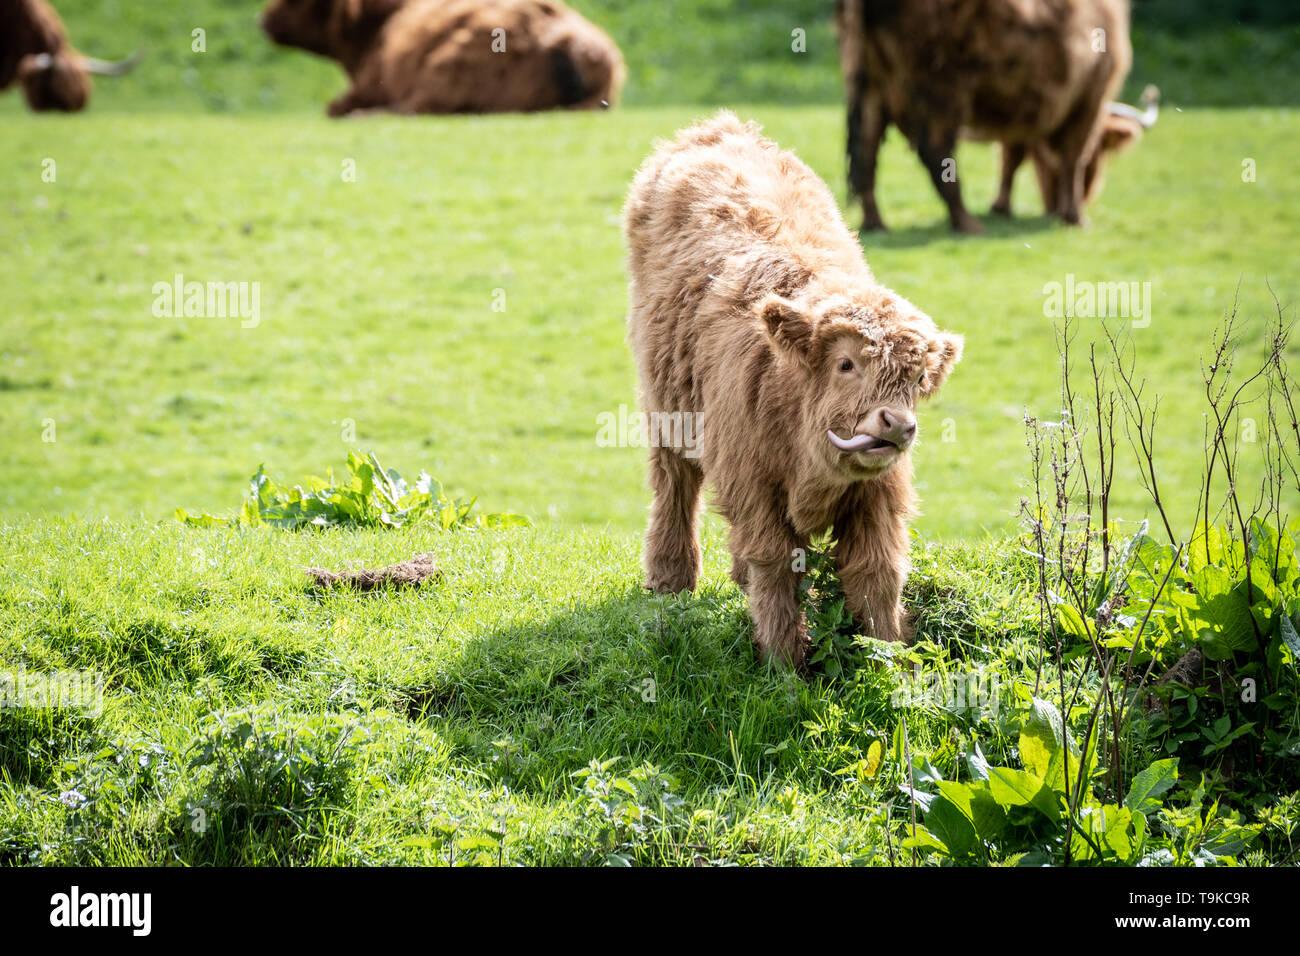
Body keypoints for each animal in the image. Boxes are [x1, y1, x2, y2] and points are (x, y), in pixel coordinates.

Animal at [624, 110, 961, 665]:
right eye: (846, 364)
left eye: (915, 378)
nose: (895, 425)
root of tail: (719, 127)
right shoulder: (753, 484)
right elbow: (777, 566)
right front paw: (784, 663)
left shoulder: (878, 499)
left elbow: (876, 572)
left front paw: (887, 657)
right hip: (665, 404)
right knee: (673, 484)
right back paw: (670, 579)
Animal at [832, 0, 1149, 231]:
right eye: (1101, 155)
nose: (1053, 206)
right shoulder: (1088, 100)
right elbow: (1073, 159)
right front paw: (1074, 216)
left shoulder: (1023, 114)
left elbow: (1012, 159)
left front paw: (1001, 207)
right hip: (942, 92)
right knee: (936, 154)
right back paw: (967, 223)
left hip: (868, 86)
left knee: (865, 156)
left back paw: (875, 223)